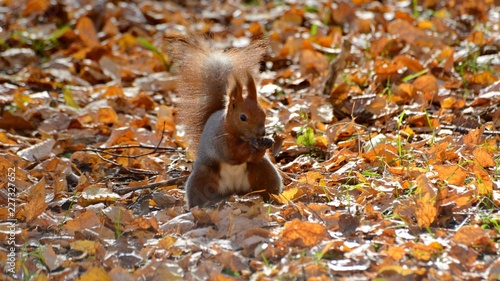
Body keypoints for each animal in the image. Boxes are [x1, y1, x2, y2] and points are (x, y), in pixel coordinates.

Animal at [174, 37, 284, 208]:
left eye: (264, 113)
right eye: (243, 117)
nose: (262, 132)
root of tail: (234, 189)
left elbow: (255, 158)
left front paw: (267, 141)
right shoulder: (220, 142)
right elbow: (232, 154)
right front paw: (250, 145)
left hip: (264, 173)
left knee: (268, 186)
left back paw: (273, 201)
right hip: (202, 178)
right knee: (197, 194)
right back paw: (196, 207)